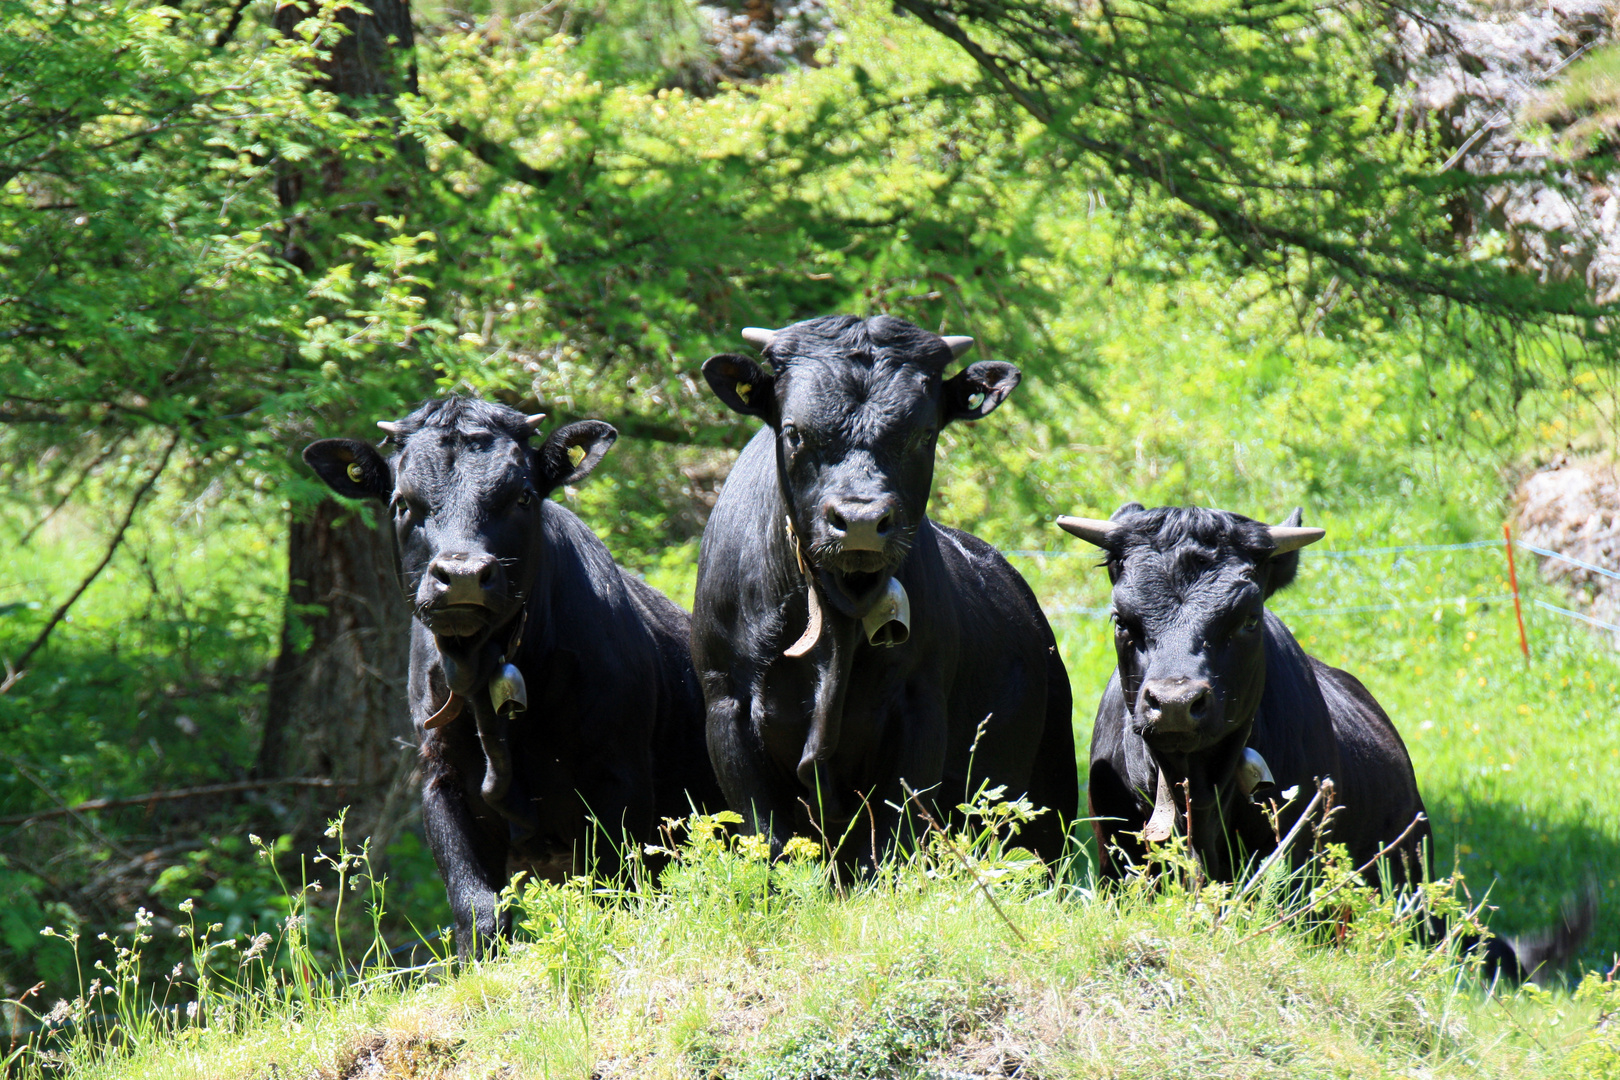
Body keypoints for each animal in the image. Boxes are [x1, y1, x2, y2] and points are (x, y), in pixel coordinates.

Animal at [304, 396, 722, 952]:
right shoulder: (442, 780)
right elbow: (478, 913)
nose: (461, 575)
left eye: (522, 495)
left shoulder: (619, 776)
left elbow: (618, 896)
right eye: (401, 502)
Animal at [693, 310, 1075, 861]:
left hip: (1051, 797)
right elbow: (768, 838)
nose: (859, 521)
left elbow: (896, 838)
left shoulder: (919, 710)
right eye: (794, 431)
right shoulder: (727, 707)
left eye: (924, 433)